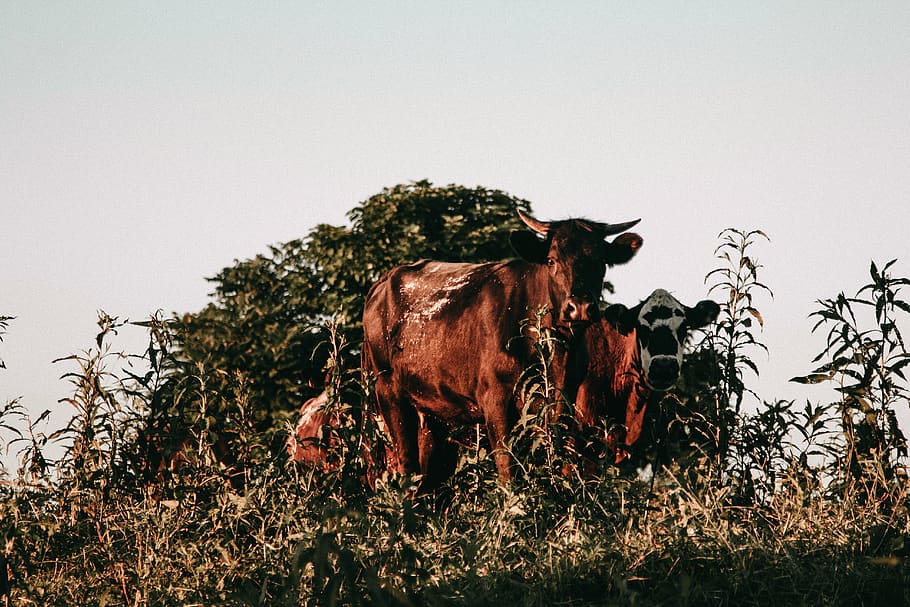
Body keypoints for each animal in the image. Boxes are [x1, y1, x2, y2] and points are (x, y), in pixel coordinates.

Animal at [361, 210, 642, 489]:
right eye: (551, 260)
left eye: (601, 261)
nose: (580, 307)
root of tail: (382, 283)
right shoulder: (495, 399)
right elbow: (508, 468)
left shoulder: (565, 401)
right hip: (388, 393)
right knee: (405, 467)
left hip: (433, 413)